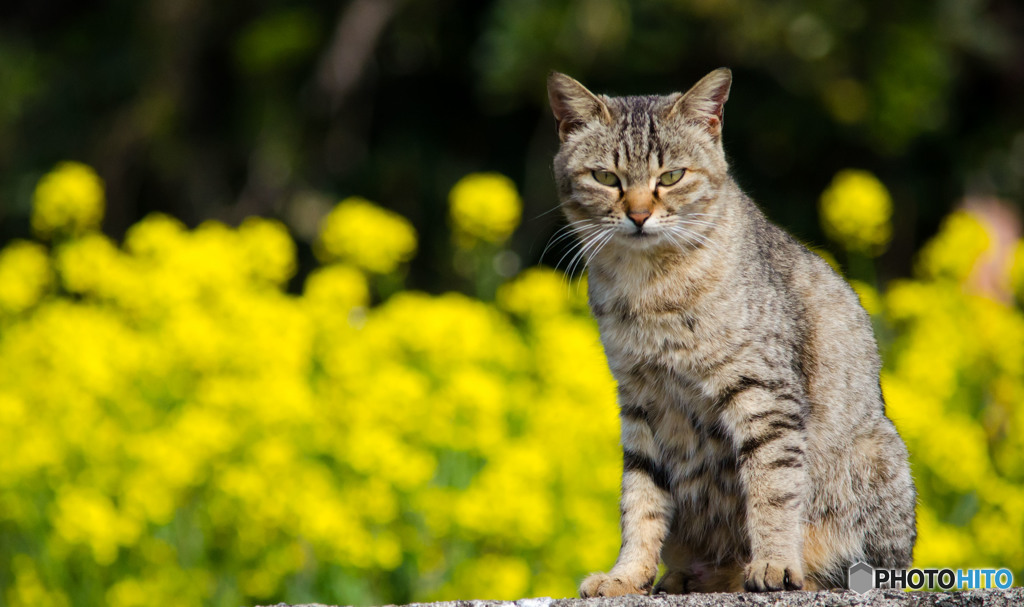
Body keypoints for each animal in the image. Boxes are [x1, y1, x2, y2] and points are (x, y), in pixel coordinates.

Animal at [548, 68, 917, 593]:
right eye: (605, 178)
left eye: (671, 177)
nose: (638, 215)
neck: (649, 285)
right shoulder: (640, 403)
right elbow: (640, 502)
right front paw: (627, 576)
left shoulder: (764, 394)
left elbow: (773, 488)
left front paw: (775, 563)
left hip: (876, 463)